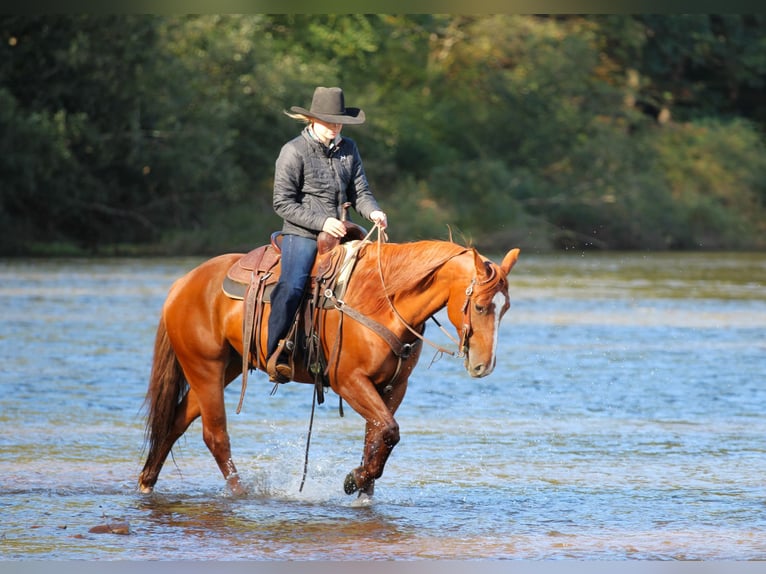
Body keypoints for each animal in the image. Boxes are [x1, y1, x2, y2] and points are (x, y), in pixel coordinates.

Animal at [138, 231, 520, 500]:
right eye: (481, 306)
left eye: (505, 307)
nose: (484, 366)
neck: (383, 300)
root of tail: (183, 283)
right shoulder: (347, 381)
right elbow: (388, 431)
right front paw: (354, 480)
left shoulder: (393, 387)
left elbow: (378, 435)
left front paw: (364, 487)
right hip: (205, 367)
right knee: (215, 435)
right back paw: (240, 494)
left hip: (223, 367)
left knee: (175, 422)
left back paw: (146, 482)